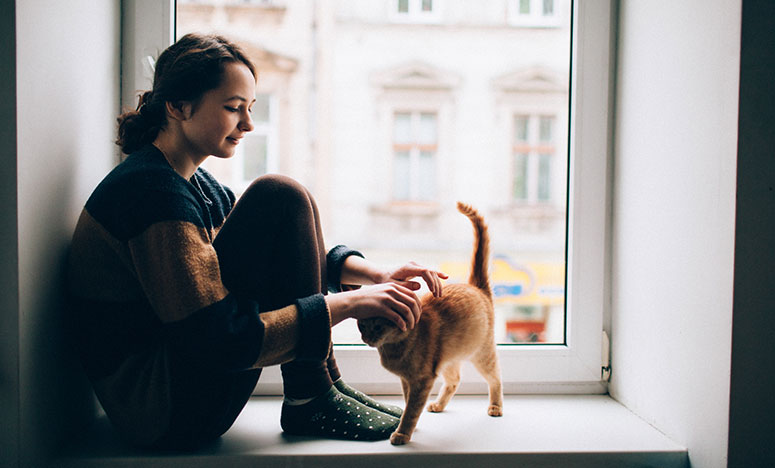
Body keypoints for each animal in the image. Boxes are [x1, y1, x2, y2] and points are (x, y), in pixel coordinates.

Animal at [358, 202, 504, 446]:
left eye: (378, 326)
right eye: (362, 325)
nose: (367, 338)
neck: (396, 347)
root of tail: (475, 287)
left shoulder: (422, 379)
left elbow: (411, 409)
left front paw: (403, 433)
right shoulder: (407, 380)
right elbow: (408, 402)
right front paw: (411, 428)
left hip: (482, 355)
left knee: (496, 379)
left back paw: (495, 406)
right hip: (449, 359)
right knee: (455, 380)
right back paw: (439, 405)